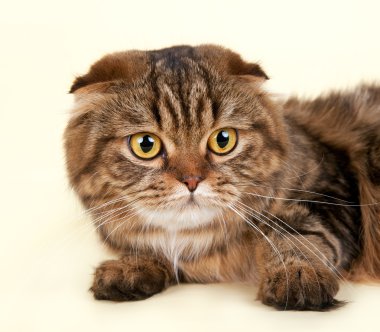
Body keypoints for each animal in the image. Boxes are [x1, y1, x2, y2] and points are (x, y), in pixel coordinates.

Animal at [64, 44, 380, 312]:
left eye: (223, 140)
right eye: (146, 145)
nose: (192, 180)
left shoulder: (331, 189)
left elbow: (295, 233)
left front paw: (297, 274)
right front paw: (130, 267)